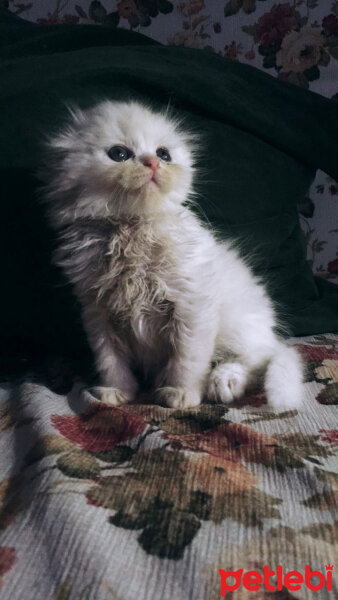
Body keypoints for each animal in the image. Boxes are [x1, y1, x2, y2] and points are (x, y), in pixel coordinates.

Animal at [43, 101, 304, 410]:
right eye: (119, 154)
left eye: (163, 154)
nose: (153, 163)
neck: (131, 229)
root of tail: (271, 333)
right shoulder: (99, 315)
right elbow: (111, 362)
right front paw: (118, 392)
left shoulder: (192, 307)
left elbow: (186, 361)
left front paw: (181, 394)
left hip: (238, 327)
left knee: (255, 360)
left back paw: (224, 383)